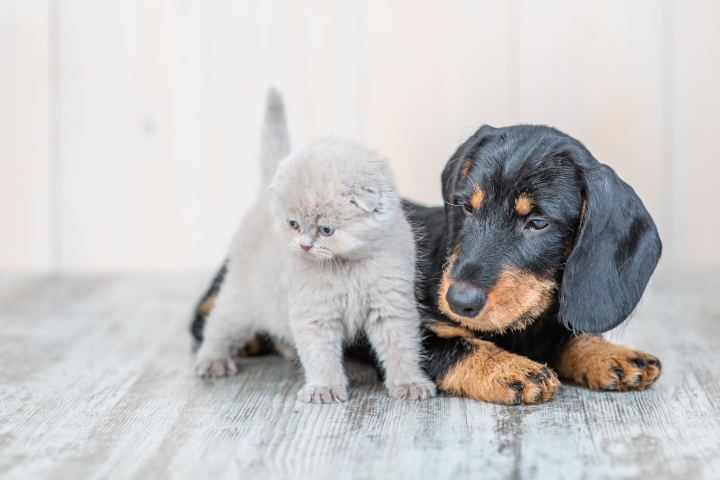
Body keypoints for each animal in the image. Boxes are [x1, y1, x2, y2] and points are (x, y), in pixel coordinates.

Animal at [191, 124, 664, 404]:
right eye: (466, 207)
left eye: (537, 223)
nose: (459, 300)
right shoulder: (410, 326)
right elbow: (458, 345)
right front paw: (508, 369)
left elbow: (569, 334)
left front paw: (610, 356)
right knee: (206, 316)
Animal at [194, 88, 436, 404]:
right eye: (293, 224)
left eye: (326, 230)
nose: (305, 246)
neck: (346, 266)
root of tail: (262, 197)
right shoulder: (314, 312)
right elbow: (320, 354)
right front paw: (325, 388)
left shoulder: (392, 305)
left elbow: (402, 348)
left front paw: (410, 383)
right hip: (241, 298)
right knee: (218, 325)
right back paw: (212, 361)